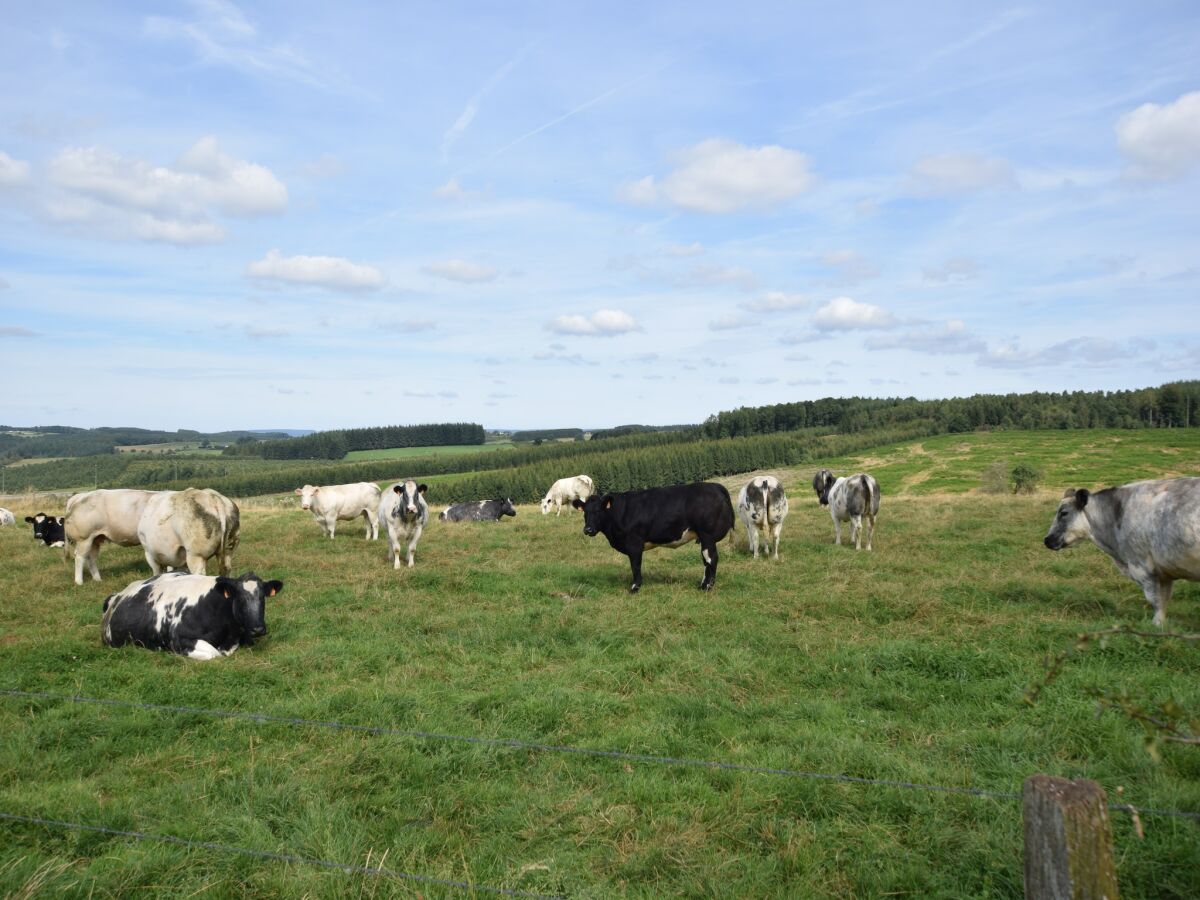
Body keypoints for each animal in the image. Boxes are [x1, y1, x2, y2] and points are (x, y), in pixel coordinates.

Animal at [102, 571, 282, 662]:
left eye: (262, 597)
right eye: (240, 598)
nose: (258, 629)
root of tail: (117, 595)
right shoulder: (180, 639)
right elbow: (213, 654)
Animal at [568, 482, 729, 595]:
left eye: (598, 511)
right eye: (585, 513)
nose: (588, 529)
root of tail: (714, 485)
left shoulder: (634, 543)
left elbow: (635, 566)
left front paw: (635, 587)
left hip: (707, 535)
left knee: (711, 559)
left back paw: (707, 587)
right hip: (703, 537)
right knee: (706, 560)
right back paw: (702, 584)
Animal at [1041, 480, 1200, 628]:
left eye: (1063, 513)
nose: (1047, 540)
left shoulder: (1142, 567)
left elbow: (1156, 601)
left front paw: (1157, 624)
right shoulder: (1164, 573)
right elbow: (1164, 599)